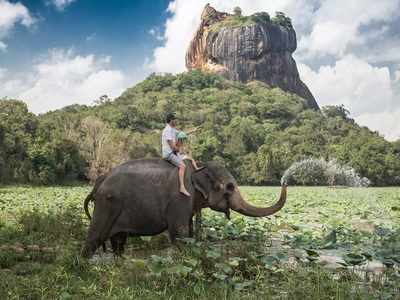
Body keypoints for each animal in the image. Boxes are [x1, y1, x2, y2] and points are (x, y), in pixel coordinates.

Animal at [82, 157, 288, 258]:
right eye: (229, 188)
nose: (285, 181)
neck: (198, 168)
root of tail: (99, 182)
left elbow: (188, 233)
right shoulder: (180, 199)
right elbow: (179, 234)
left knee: (118, 242)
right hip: (106, 205)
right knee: (94, 238)